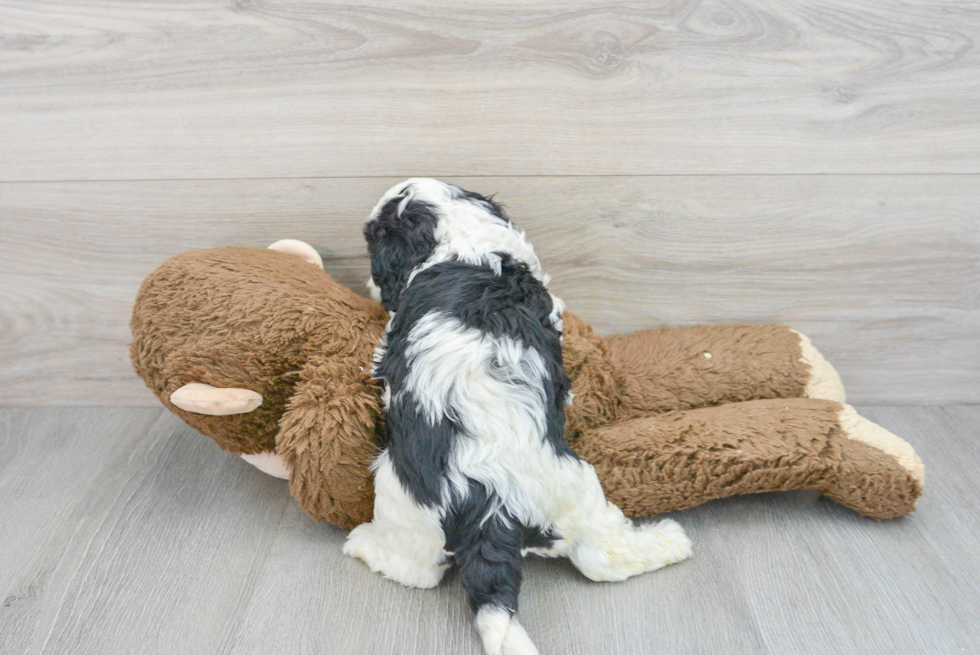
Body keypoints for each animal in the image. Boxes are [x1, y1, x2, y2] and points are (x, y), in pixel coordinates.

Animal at [348, 179, 692, 655]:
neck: (460, 243)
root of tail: (490, 504)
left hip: (420, 499)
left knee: (419, 570)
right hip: (571, 487)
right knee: (598, 556)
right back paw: (670, 541)